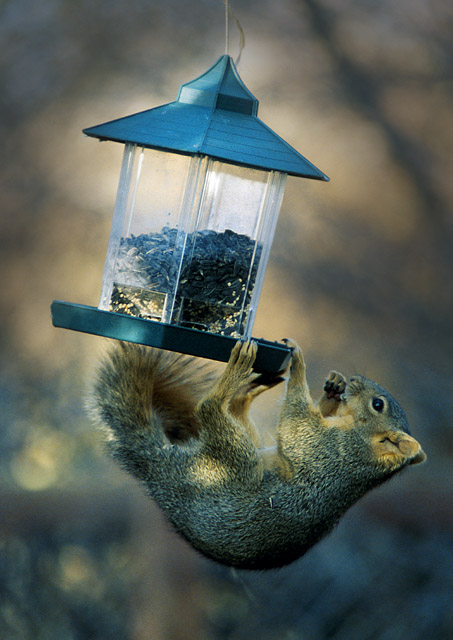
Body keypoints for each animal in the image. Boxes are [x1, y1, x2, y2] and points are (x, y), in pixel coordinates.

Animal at [90, 340, 426, 568]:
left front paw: (299, 362)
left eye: (377, 405)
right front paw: (331, 389)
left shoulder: (325, 449)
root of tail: (160, 476)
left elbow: (295, 424)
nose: (354, 380)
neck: (360, 442)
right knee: (234, 411)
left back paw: (232, 376)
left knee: (208, 410)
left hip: (235, 463)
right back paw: (250, 387)